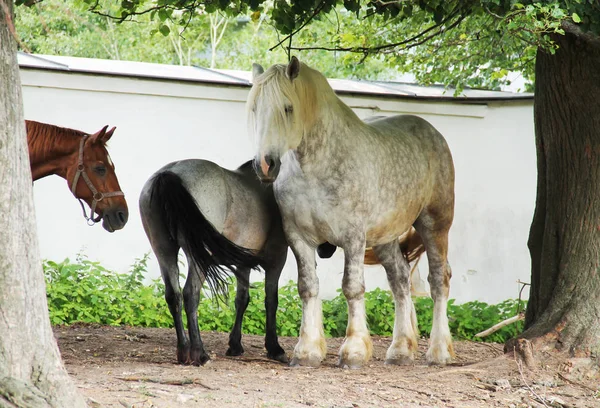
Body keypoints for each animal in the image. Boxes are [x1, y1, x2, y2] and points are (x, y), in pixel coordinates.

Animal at [248, 58, 454, 370]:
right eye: (254, 108)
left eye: (288, 107)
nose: (264, 165)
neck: (316, 169)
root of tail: (434, 134)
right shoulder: (298, 238)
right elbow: (307, 287)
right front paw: (307, 351)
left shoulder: (353, 237)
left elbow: (352, 287)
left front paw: (354, 351)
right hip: (385, 238)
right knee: (400, 281)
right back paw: (400, 350)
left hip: (434, 225)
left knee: (439, 280)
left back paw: (439, 351)